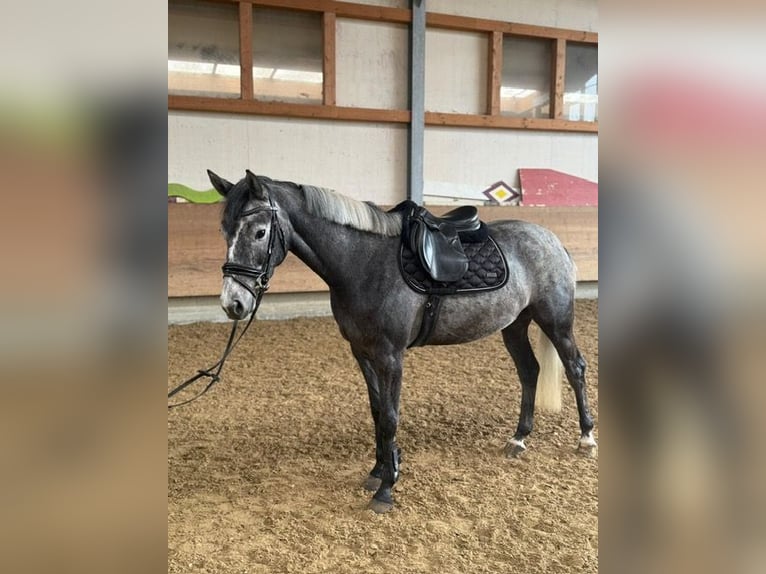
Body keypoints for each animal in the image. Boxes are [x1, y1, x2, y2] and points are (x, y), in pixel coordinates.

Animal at [206, 169, 596, 513]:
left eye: (259, 232)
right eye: (224, 231)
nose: (233, 303)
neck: (363, 263)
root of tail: (553, 240)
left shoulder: (390, 355)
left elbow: (391, 417)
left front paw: (386, 489)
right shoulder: (362, 352)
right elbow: (378, 411)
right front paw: (379, 470)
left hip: (556, 322)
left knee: (575, 368)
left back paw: (586, 438)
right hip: (514, 325)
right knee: (530, 371)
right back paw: (518, 439)